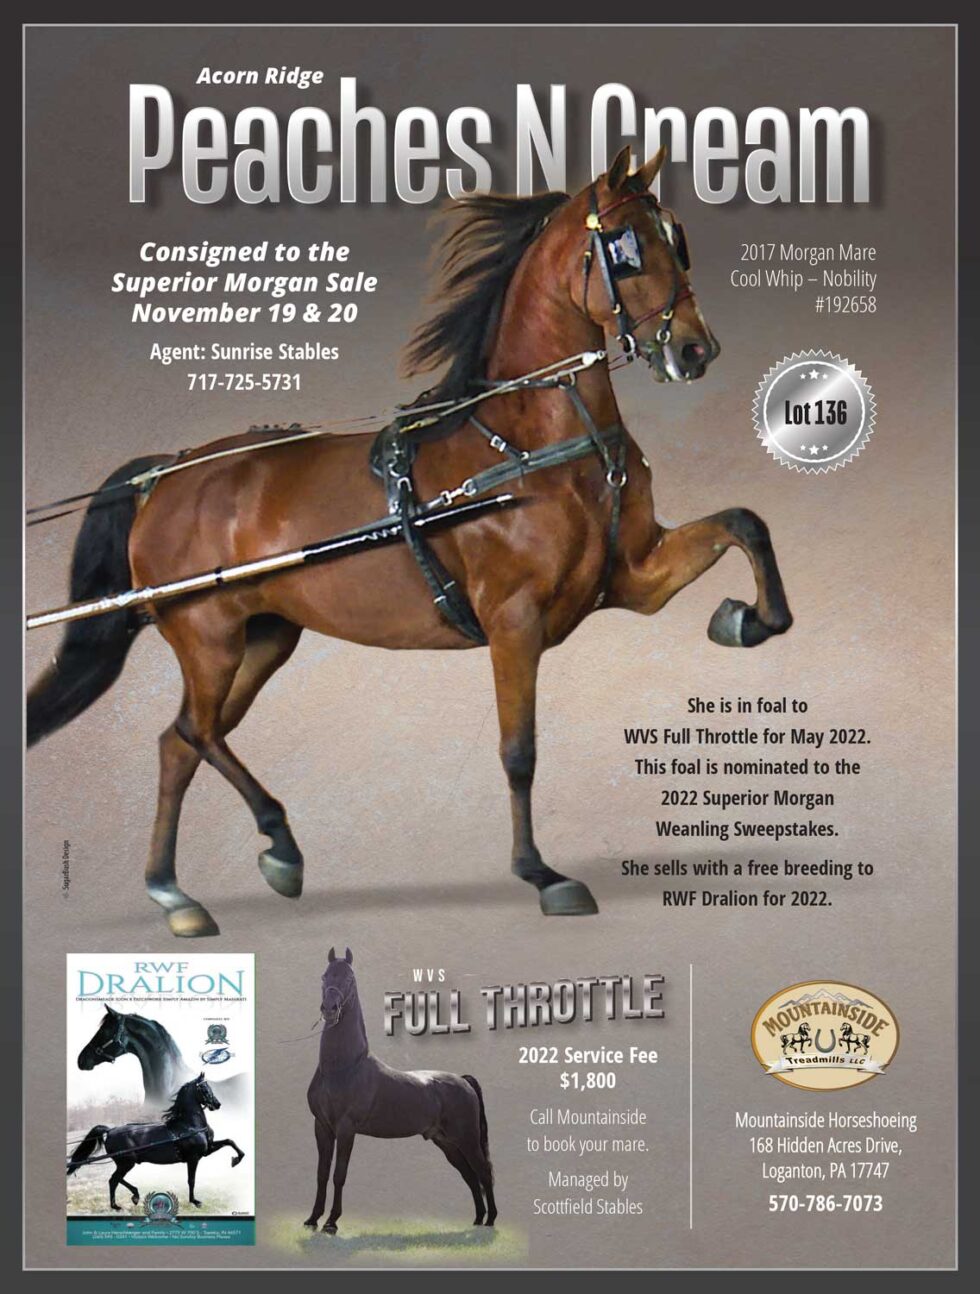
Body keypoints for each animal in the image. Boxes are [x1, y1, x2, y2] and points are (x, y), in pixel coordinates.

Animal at [27, 144, 792, 937]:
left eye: (678, 237)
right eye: (623, 246)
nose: (695, 349)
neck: (531, 442)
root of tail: (167, 474)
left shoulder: (633, 577)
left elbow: (744, 522)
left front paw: (747, 619)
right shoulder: (513, 619)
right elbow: (519, 750)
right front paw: (541, 873)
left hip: (264, 636)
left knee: (177, 744)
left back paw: (174, 891)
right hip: (206, 636)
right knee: (196, 732)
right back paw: (277, 843)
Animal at [67, 1073, 245, 1211]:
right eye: (205, 1088)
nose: (217, 1104)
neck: (189, 1125)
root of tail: (109, 1131)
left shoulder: (207, 1150)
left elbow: (230, 1141)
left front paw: (236, 1159)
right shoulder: (193, 1158)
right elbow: (191, 1180)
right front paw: (195, 1201)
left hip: (126, 1162)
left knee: (116, 1179)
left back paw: (134, 1196)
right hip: (126, 1162)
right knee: (113, 1180)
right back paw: (117, 1205)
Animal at [304, 947, 495, 1233]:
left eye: (349, 978)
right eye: (324, 976)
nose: (329, 1009)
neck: (343, 1067)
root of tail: (464, 1081)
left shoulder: (346, 1128)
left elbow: (339, 1175)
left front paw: (331, 1223)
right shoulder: (322, 1127)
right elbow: (321, 1174)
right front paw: (312, 1219)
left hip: (467, 1139)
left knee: (483, 1173)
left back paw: (491, 1219)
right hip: (447, 1143)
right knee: (470, 1176)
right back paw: (477, 1220)